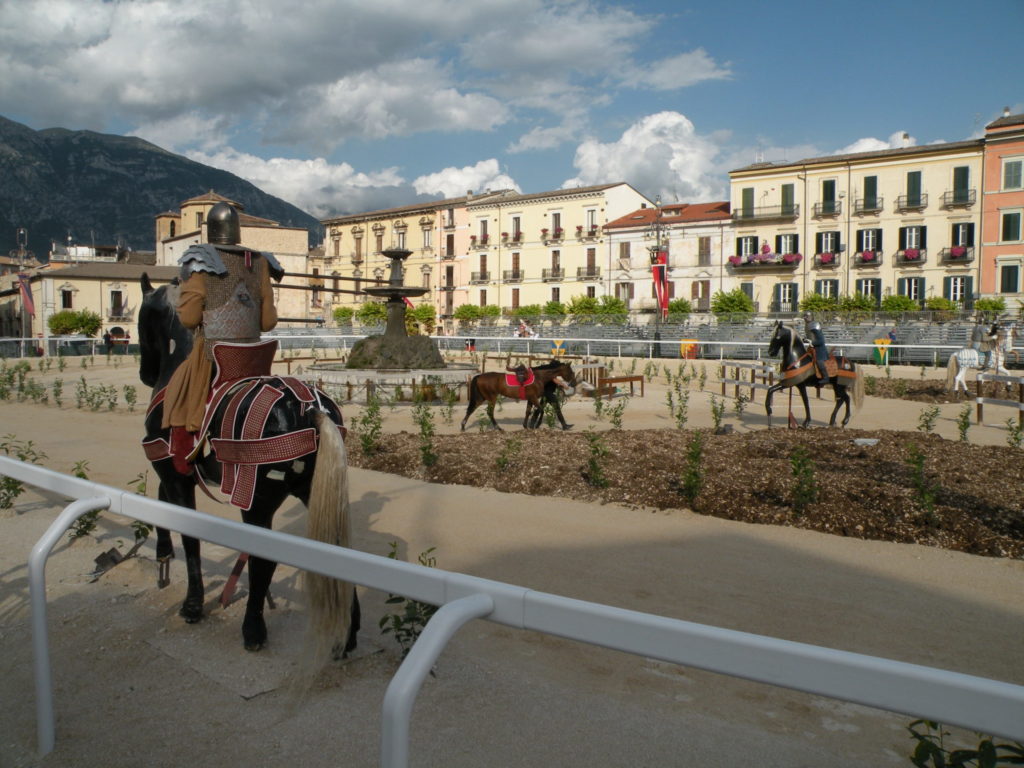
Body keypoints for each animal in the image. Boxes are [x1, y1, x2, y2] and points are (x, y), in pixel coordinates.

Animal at [136, 276, 360, 655]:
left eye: (142, 320)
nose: (145, 373)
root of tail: (309, 408)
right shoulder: (175, 475)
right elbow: (161, 508)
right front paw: (164, 558)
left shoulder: (174, 475)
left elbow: (189, 537)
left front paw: (192, 603)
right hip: (311, 490)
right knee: (341, 551)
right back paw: (348, 634)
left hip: (258, 504)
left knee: (263, 558)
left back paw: (253, 627)